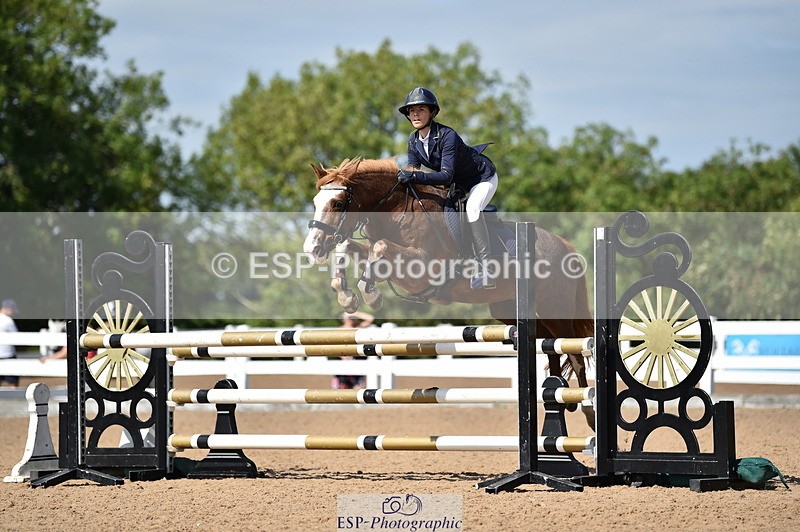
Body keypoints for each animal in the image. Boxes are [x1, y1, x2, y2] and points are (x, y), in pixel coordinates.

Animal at [303, 157, 595, 423]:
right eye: (315, 203)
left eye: (337, 203)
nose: (312, 249)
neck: (396, 211)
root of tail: (565, 247)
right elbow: (350, 247)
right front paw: (346, 295)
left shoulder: (420, 269)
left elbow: (379, 248)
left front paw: (370, 294)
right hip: (509, 310)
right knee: (551, 346)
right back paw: (559, 394)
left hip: (556, 309)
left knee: (575, 352)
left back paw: (587, 409)